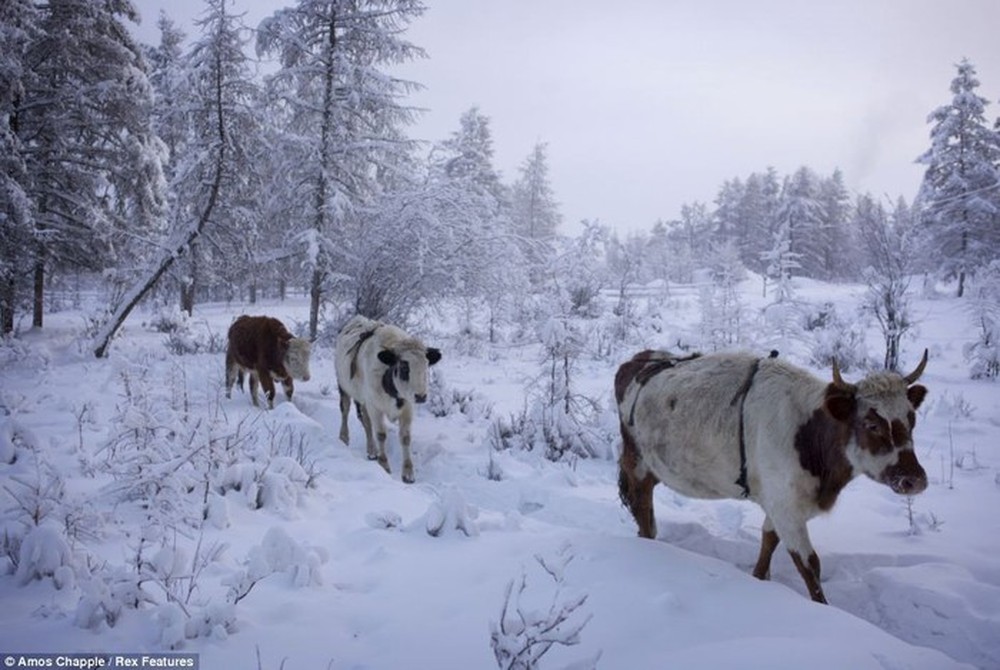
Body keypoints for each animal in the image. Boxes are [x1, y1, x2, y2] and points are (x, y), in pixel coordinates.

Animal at [334, 316, 440, 484]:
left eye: (426, 366)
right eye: (404, 367)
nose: (421, 396)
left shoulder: (407, 408)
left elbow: (405, 438)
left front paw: (408, 473)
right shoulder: (375, 407)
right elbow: (381, 434)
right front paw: (384, 465)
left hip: (364, 399)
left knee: (366, 422)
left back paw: (371, 451)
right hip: (343, 386)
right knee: (345, 410)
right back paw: (344, 438)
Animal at [616, 350, 928, 608]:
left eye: (911, 419)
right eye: (871, 424)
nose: (915, 480)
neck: (808, 433)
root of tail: (638, 360)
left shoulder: (780, 504)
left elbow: (768, 543)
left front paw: (758, 580)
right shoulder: (786, 507)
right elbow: (809, 565)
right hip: (637, 464)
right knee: (642, 509)